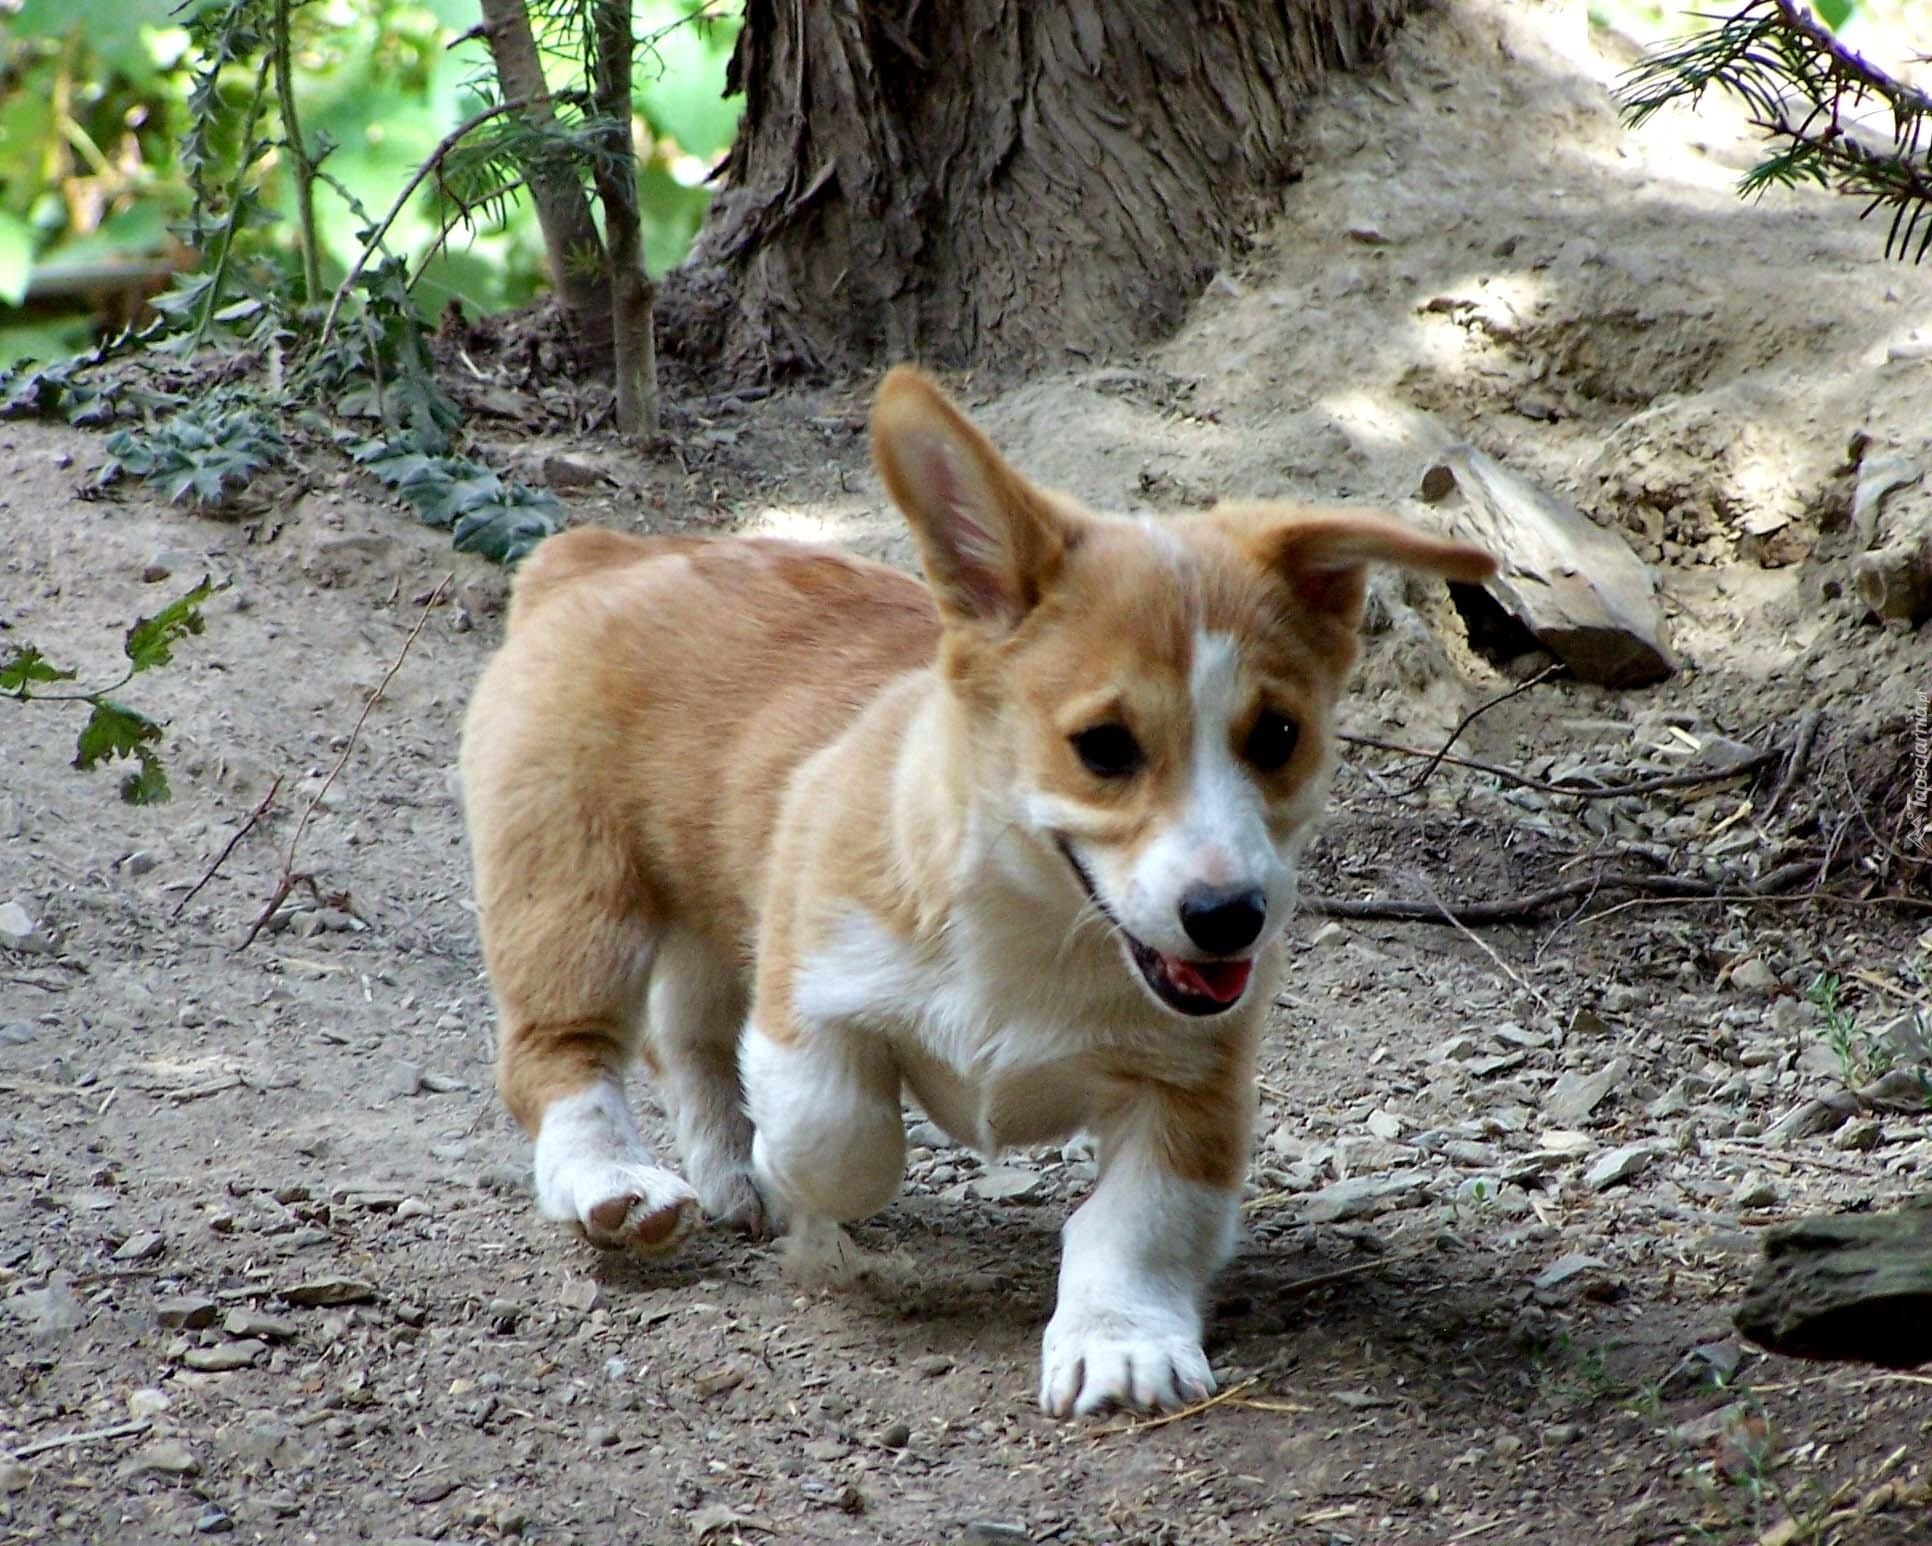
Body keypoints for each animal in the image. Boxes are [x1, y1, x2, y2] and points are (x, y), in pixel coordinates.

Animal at [455, 365, 1491, 1414]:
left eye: (1278, 736)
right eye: (1104, 748)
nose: (1229, 918)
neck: (1031, 927)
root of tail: (606, 553)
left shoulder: (1189, 1090)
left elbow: (1139, 1223)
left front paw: (1119, 1341)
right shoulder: (809, 1000)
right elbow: (841, 1138)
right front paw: (792, 1180)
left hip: (707, 904)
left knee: (687, 1037)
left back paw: (723, 1171)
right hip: (575, 903)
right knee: (562, 1056)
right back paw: (614, 1182)